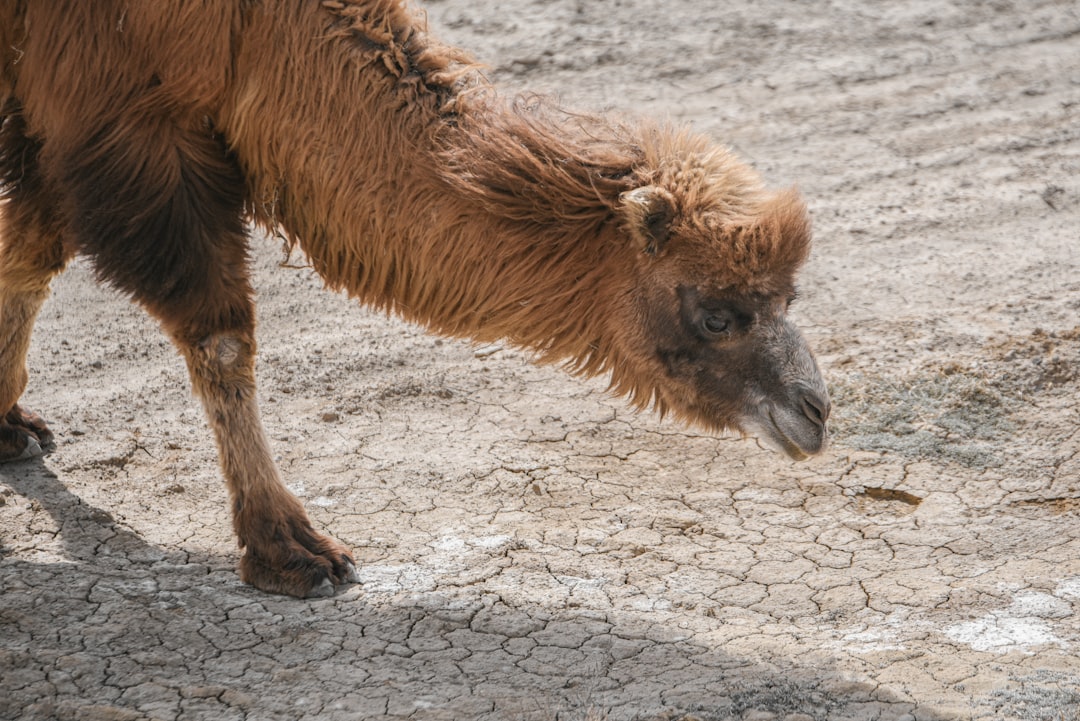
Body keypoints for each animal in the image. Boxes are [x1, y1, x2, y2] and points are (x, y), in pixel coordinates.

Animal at [0, 0, 825, 595]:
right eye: (716, 314)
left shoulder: (57, 115)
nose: (814, 411)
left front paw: (8, 424)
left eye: (788, 298)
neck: (256, 30)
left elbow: (28, 251)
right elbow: (219, 331)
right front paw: (291, 549)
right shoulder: (123, 119)